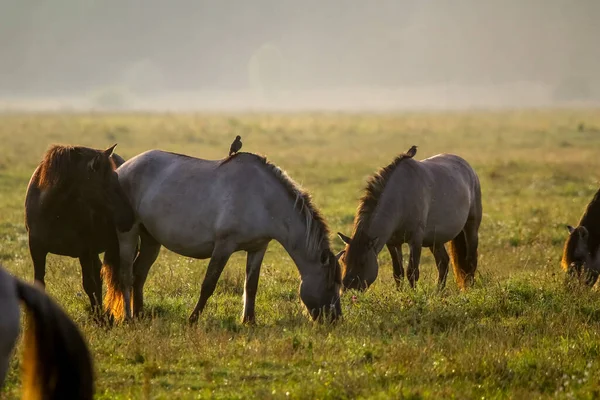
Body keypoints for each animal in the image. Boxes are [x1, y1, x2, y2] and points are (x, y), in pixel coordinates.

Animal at [24, 145, 135, 316]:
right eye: (105, 182)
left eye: (117, 177)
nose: (129, 217)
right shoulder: (36, 249)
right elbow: (39, 283)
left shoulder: (84, 251)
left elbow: (89, 285)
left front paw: (99, 319)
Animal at [103, 151, 342, 324]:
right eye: (331, 285)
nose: (336, 320)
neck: (263, 198)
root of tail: (121, 169)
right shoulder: (223, 246)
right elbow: (208, 284)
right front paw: (193, 319)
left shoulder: (258, 248)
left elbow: (251, 286)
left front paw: (249, 321)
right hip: (128, 233)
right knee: (126, 275)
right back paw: (128, 318)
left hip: (151, 239)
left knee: (139, 274)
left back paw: (140, 315)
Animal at [338, 149, 482, 290]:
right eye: (344, 259)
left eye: (362, 262)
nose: (347, 288)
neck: (401, 198)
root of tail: (469, 169)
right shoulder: (393, 243)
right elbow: (398, 272)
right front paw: (400, 293)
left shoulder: (415, 240)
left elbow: (412, 272)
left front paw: (413, 294)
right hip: (435, 240)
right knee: (443, 263)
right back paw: (438, 292)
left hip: (471, 228)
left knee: (471, 261)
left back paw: (469, 289)